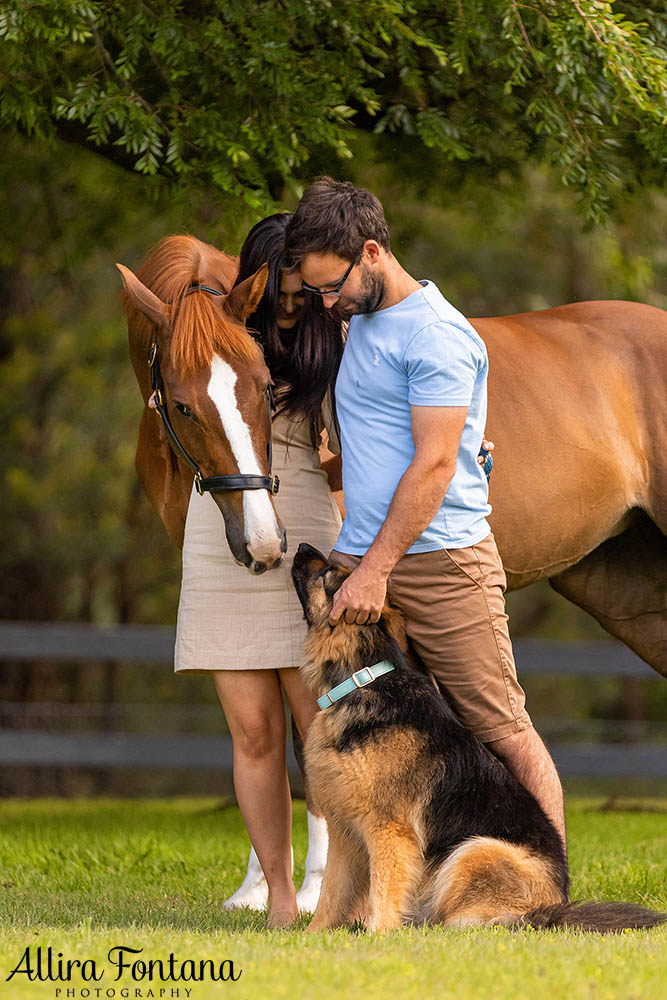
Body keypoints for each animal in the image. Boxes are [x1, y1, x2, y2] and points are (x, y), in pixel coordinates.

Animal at [294, 544, 667, 932]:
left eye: (329, 573)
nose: (302, 546)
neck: (361, 681)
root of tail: (552, 909)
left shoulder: (390, 832)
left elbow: (383, 891)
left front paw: (378, 934)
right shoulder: (344, 834)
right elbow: (331, 895)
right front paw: (314, 934)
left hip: (476, 848)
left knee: (483, 918)